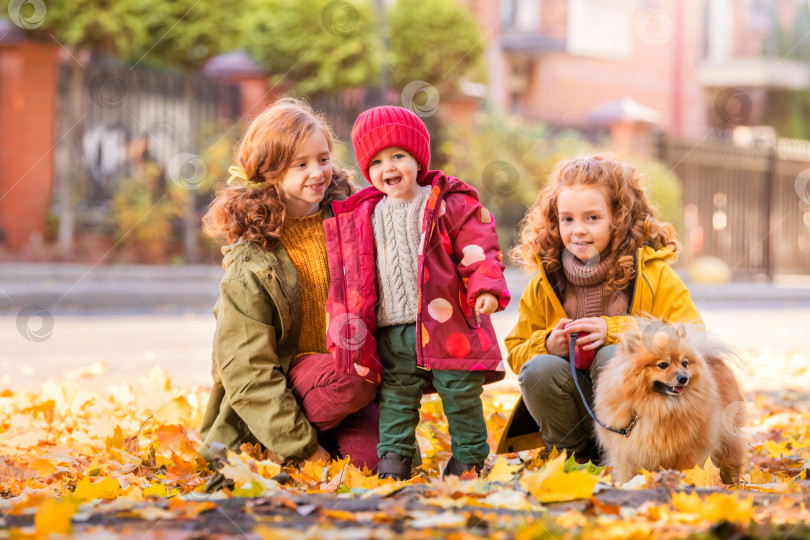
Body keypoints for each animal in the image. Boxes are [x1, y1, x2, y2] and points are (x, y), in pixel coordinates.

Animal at [592, 318, 744, 484]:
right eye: (663, 365)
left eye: (684, 363)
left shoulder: (687, 452)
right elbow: (628, 476)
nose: (683, 378)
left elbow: (686, 471)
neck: (658, 406)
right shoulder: (627, 454)